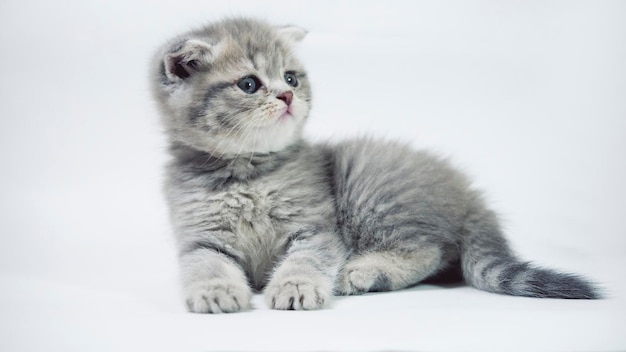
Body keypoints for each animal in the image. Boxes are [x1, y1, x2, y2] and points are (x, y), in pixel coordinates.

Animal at [149, 18, 596, 314]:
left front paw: (296, 285)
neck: (249, 172)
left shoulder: (317, 229)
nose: (286, 97)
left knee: (430, 249)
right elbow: (204, 262)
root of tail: (469, 196)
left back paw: (360, 272)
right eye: (248, 84)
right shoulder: (200, 237)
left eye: (291, 78)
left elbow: (307, 258)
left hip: (369, 191)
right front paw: (214, 290)